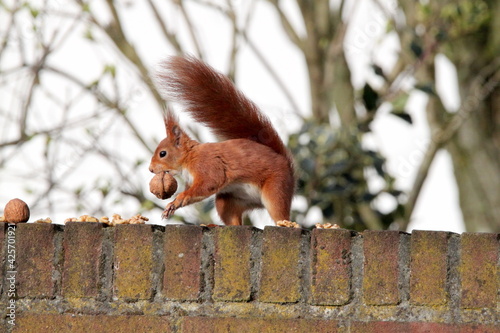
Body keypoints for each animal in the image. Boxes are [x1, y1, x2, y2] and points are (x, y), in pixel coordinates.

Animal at [150, 55, 294, 224]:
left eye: (163, 153)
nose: (151, 169)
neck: (189, 157)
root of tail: (286, 164)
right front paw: (172, 205)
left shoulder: (207, 165)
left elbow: (209, 183)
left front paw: (180, 198)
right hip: (228, 201)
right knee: (234, 220)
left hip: (276, 189)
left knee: (280, 213)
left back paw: (286, 223)